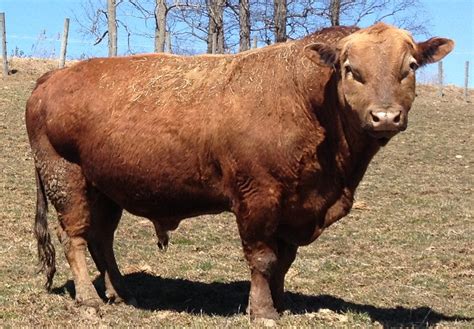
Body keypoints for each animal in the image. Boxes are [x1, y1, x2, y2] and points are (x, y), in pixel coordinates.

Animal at [25, 22, 452, 318]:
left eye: (410, 66)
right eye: (351, 69)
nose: (385, 117)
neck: (307, 98)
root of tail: (52, 77)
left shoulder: (294, 206)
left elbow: (284, 260)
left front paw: (280, 303)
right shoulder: (258, 199)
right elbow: (263, 258)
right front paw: (262, 312)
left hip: (106, 189)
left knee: (102, 240)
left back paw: (123, 293)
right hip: (67, 180)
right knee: (75, 238)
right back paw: (89, 299)